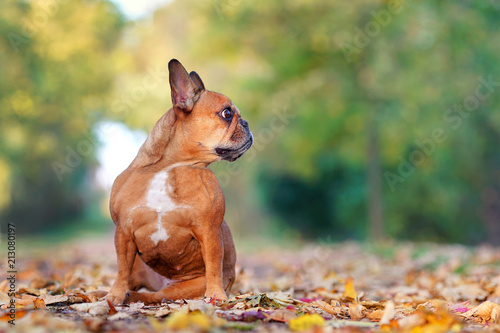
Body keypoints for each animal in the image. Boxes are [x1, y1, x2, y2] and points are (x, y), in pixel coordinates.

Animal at [107, 59, 252, 304]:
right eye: (227, 113)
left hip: (182, 287)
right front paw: (115, 294)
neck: (171, 168)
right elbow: (121, 270)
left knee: (155, 295)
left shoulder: (209, 231)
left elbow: (213, 266)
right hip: (138, 266)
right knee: (131, 279)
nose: (247, 123)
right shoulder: (124, 233)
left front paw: (216, 295)